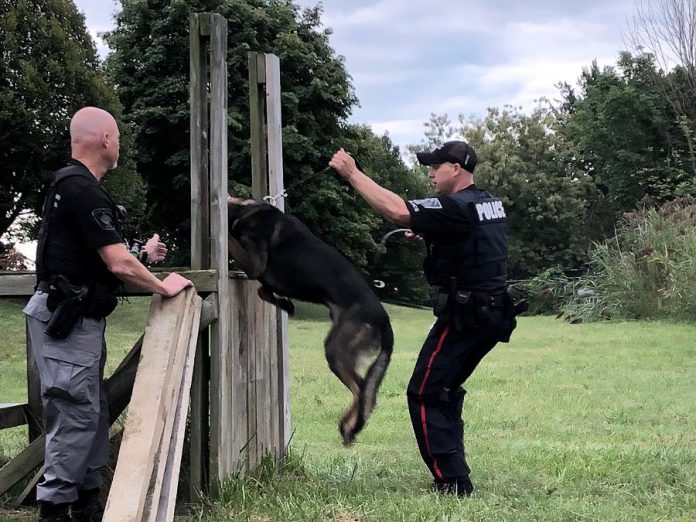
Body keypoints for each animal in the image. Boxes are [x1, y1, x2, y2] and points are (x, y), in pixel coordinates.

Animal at [227, 195, 392, 442]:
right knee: (366, 394)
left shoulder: (256, 265)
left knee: (362, 391)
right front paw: (287, 305)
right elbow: (262, 291)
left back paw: (349, 424)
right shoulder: (263, 277)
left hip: (336, 349)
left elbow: (231, 243)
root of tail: (383, 319)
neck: (245, 211)